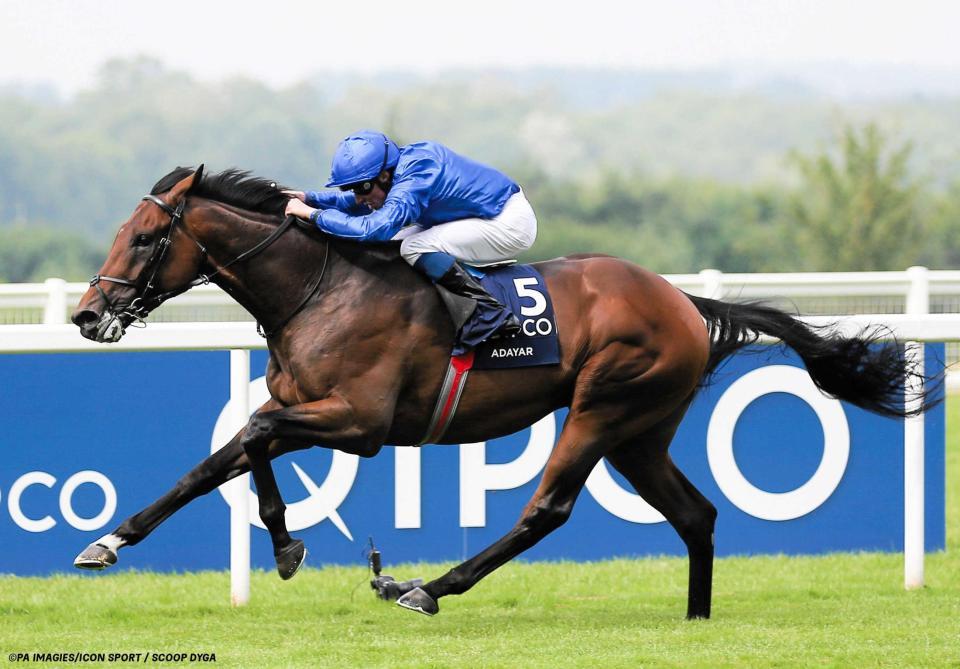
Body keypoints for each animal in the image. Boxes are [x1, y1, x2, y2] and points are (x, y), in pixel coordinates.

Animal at [71, 166, 932, 616]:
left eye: (145, 238)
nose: (85, 313)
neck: (319, 288)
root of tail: (686, 303)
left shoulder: (359, 422)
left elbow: (250, 437)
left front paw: (286, 544)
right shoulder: (305, 408)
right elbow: (215, 460)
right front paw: (108, 541)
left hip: (602, 406)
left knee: (546, 509)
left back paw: (423, 586)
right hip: (641, 432)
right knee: (696, 514)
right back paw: (696, 617)